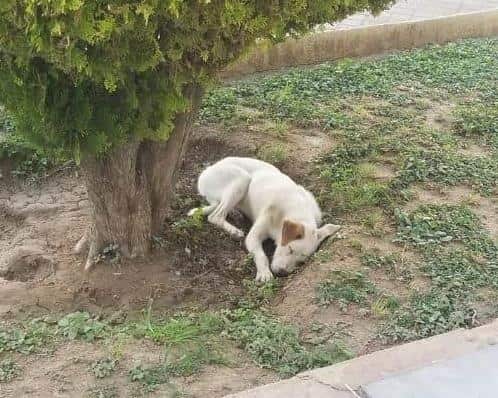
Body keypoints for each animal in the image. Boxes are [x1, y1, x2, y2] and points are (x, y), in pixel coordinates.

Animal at [189, 157, 340, 282]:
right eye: (290, 249)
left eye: (301, 262)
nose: (281, 273)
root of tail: (208, 169)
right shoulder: (253, 236)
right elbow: (261, 255)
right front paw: (264, 273)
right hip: (242, 179)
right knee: (215, 216)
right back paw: (234, 231)